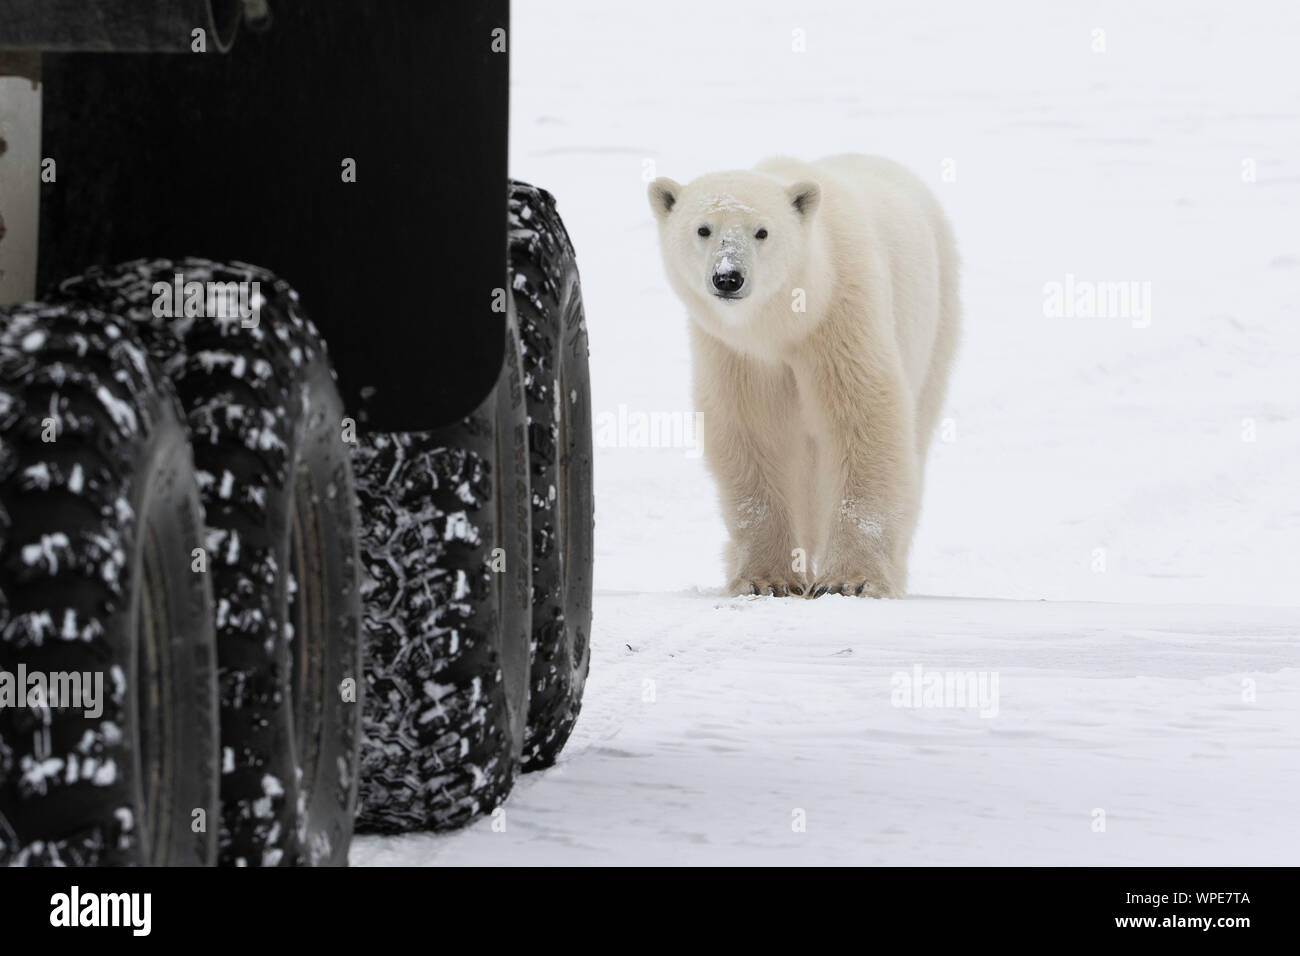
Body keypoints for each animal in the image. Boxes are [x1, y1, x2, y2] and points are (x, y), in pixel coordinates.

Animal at [648, 154, 960, 598]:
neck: (785, 325)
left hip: (936, 320)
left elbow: (863, 419)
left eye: (762, 231)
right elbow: (753, 433)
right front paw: (766, 579)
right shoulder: (737, 354)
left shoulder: (840, 317)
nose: (728, 277)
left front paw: (850, 580)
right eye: (703, 229)